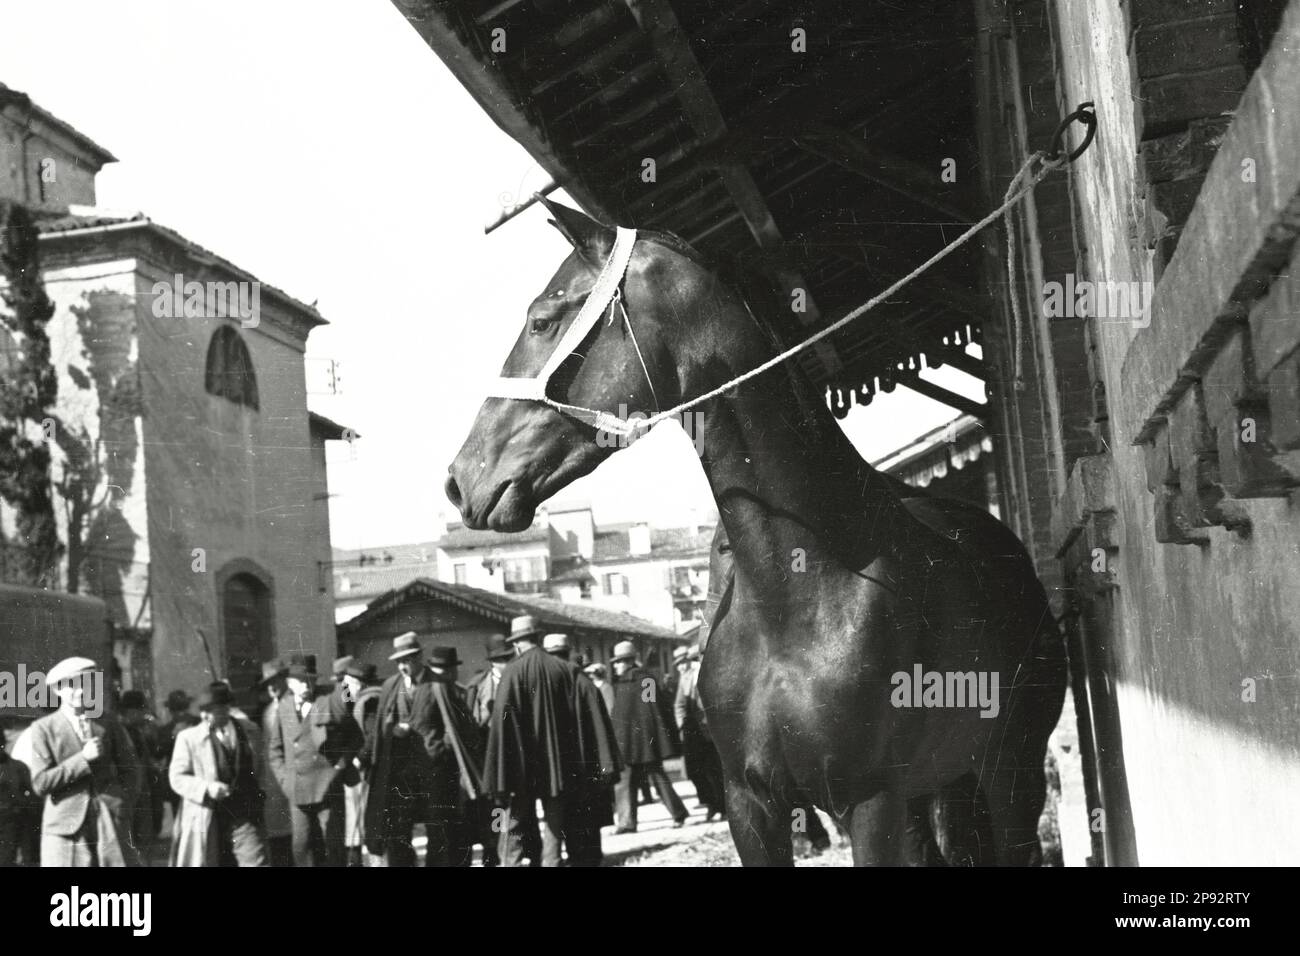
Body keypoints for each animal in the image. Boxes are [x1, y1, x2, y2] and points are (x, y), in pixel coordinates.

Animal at [447, 197, 1066, 863]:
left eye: (540, 320)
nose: (461, 478)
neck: (799, 596)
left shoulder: (874, 806)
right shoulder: (753, 806)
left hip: (1009, 775)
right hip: (946, 787)